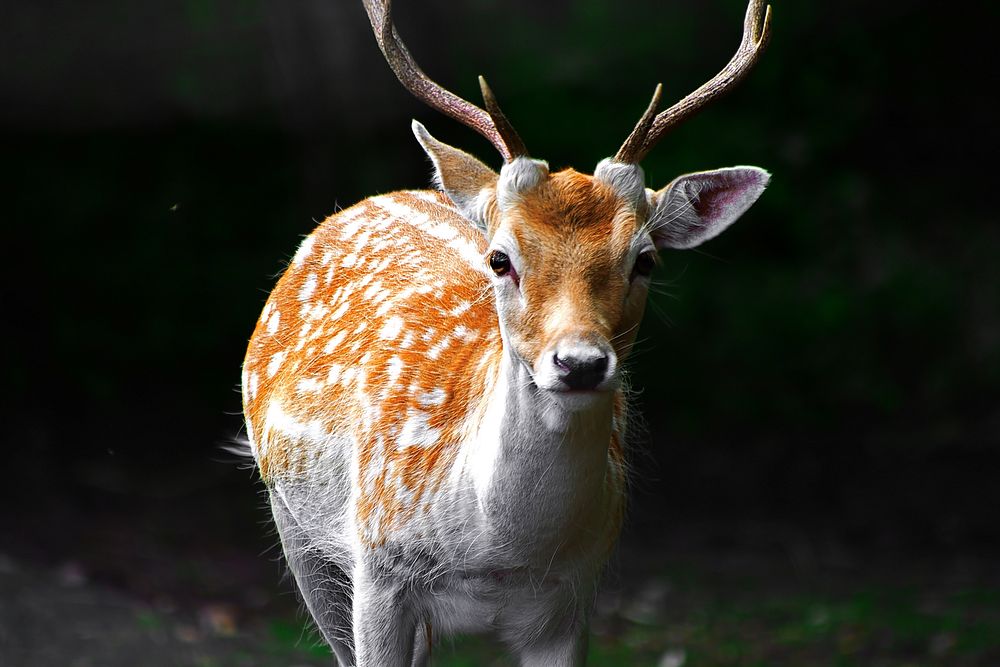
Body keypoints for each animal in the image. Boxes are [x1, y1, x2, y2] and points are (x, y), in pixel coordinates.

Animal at [242, 1, 772, 664]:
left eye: (645, 259)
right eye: (500, 259)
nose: (579, 363)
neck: (495, 553)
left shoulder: (572, 599)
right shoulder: (378, 571)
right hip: (294, 521)